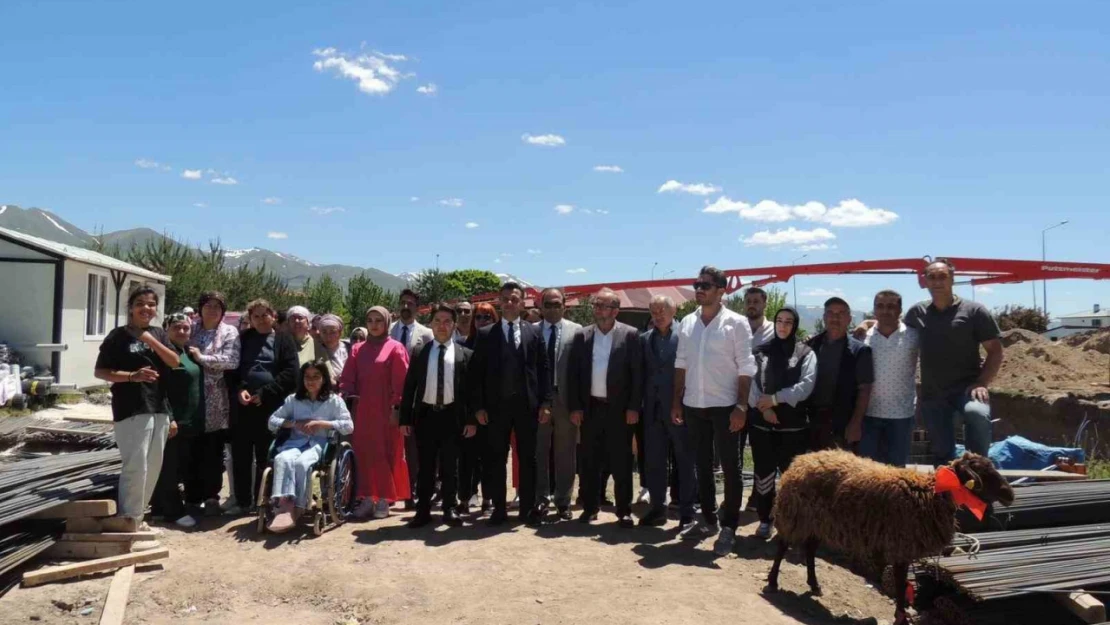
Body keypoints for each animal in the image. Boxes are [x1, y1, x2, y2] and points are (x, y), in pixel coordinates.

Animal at [763, 450, 1016, 625]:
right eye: (982, 471)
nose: (1010, 494)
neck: (932, 494)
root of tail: (801, 459)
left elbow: (903, 585)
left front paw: (901, 615)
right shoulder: (900, 547)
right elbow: (901, 585)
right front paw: (901, 617)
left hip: (817, 522)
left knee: (810, 549)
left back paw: (814, 585)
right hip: (795, 515)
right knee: (783, 545)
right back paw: (773, 582)